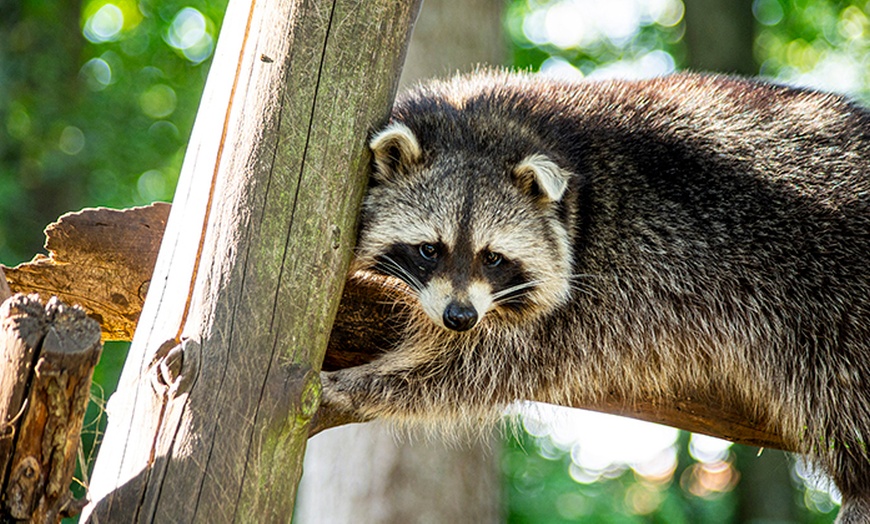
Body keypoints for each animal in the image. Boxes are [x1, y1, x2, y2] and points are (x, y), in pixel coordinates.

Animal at [322, 72, 870, 520]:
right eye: (428, 249)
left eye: (493, 257)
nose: (460, 317)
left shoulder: (598, 289)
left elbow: (479, 369)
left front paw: (355, 386)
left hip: (837, 303)